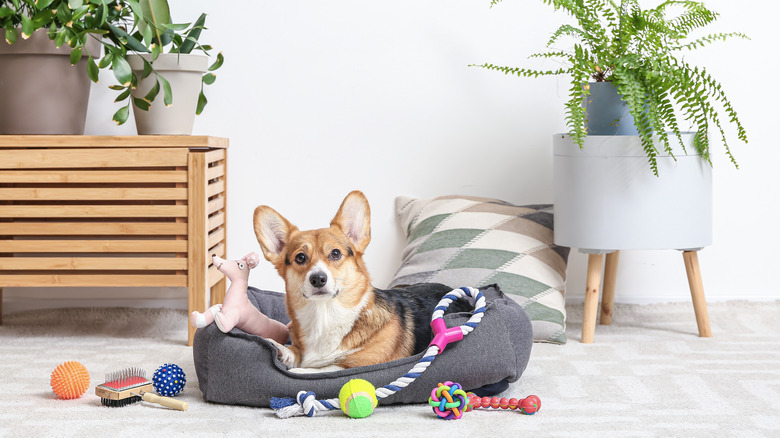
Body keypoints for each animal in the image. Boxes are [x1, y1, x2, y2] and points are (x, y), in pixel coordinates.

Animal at [253, 190, 470, 372]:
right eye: (300, 258)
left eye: (335, 253)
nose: (318, 279)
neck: (324, 315)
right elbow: (295, 352)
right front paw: (281, 349)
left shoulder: (362, 363)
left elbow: (320, 369)